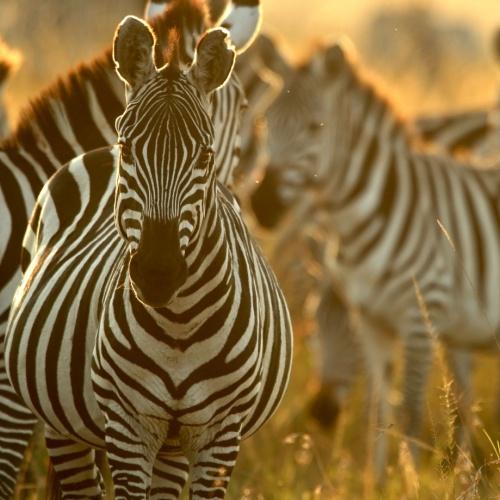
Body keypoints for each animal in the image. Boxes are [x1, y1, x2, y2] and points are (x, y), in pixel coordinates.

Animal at [4, 16, 292, 500]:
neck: (179, 324)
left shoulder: (220, 434)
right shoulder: (128, 424)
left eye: (204, 154)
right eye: (128, 148)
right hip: (53, 417)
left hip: (171, 445)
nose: (158, 274)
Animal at [252, 39, 500, 476]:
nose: (261, 205)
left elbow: (411, 411)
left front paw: (413, 480)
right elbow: (378, 409)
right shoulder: (372, 319)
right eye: (265, 122)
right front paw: (377, 478)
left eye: (315, 127)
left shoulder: (421, 317)